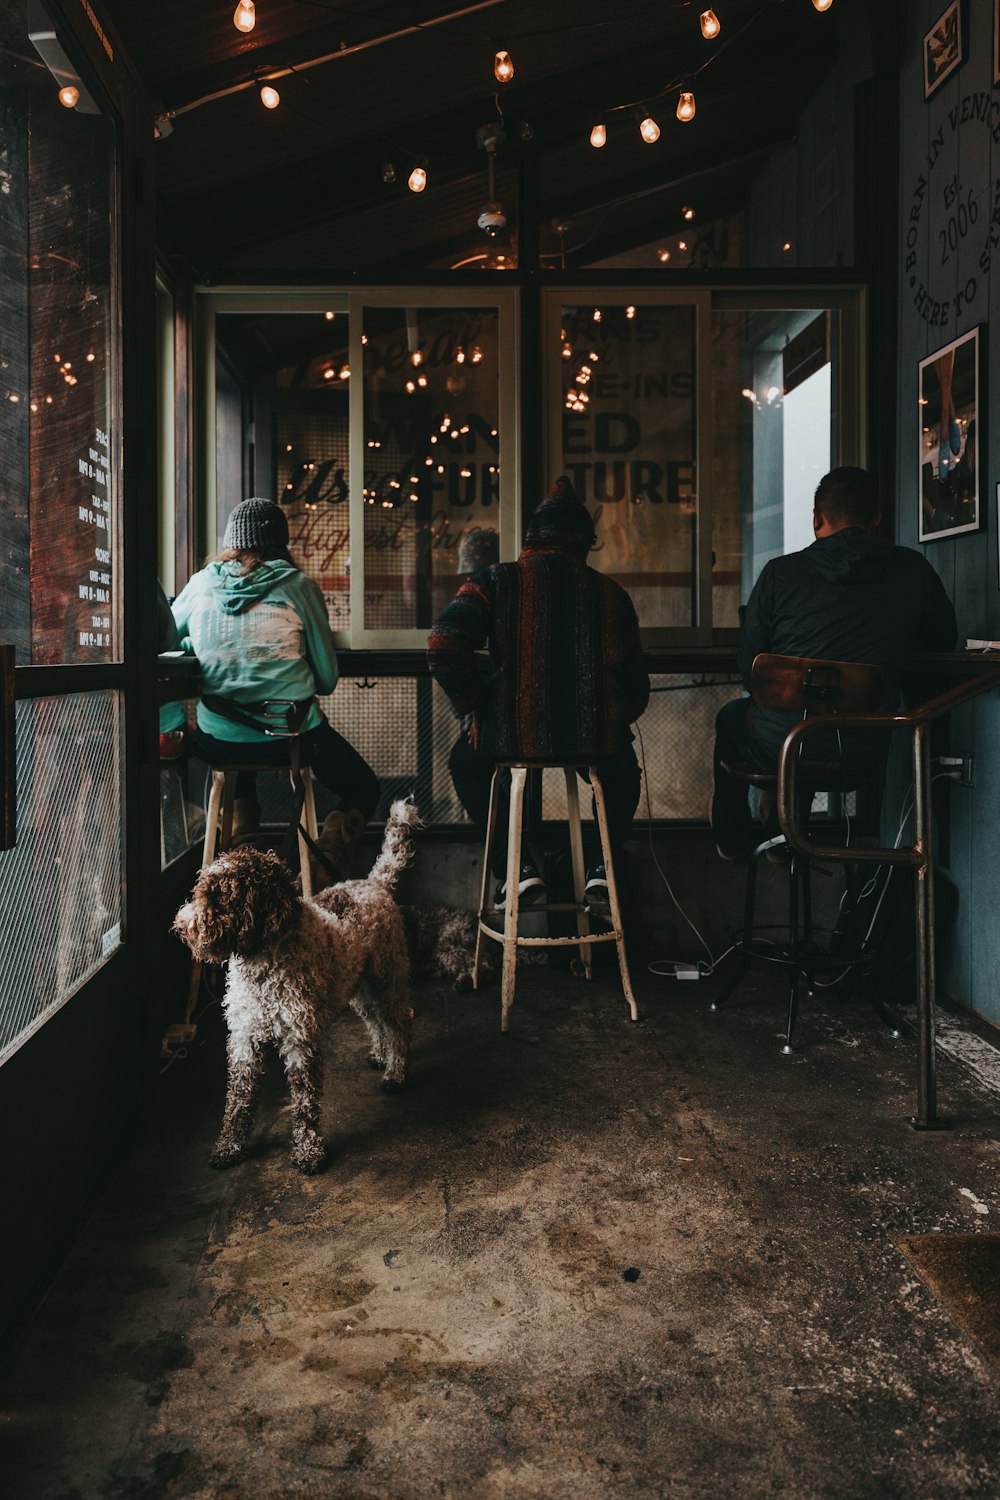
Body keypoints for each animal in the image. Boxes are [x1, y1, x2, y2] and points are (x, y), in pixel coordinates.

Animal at [173, 798, 419, 1170]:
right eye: (202, 890)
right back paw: (380, 1054)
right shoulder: (244, 1036)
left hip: (386, 978)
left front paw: (308, 1151)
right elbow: (238, 1098)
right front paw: (229, 1146)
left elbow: (304, 1100)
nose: (182, 926)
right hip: (359, 986)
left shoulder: (300, 1038)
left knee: (398, 1025)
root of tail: (373, 883)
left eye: (222, 896)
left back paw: (395, 1072)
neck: (261, 964)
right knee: (376, 1022)